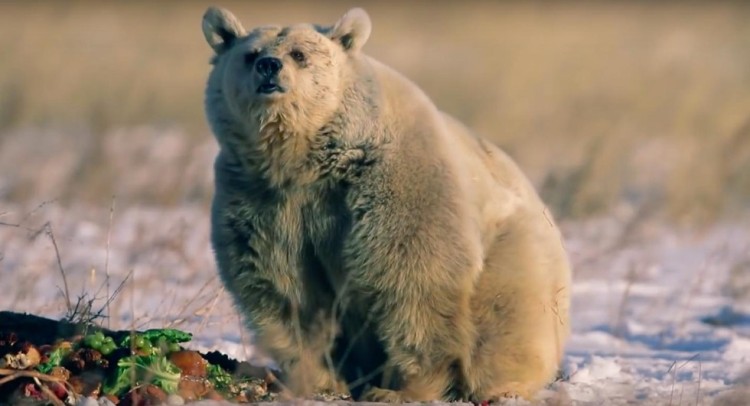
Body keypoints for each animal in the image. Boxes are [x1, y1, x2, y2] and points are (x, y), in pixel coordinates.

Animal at [203, 6, 572, 402]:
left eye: (299, 54)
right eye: (250, 54)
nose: (269, 67)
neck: (305, 160)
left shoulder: (395, 177)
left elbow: (411, 274)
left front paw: (401, 388)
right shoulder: (261, 197)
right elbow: (285, 286)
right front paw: (320, 376)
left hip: (515, 252)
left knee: (507, 318)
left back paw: (498, 384)